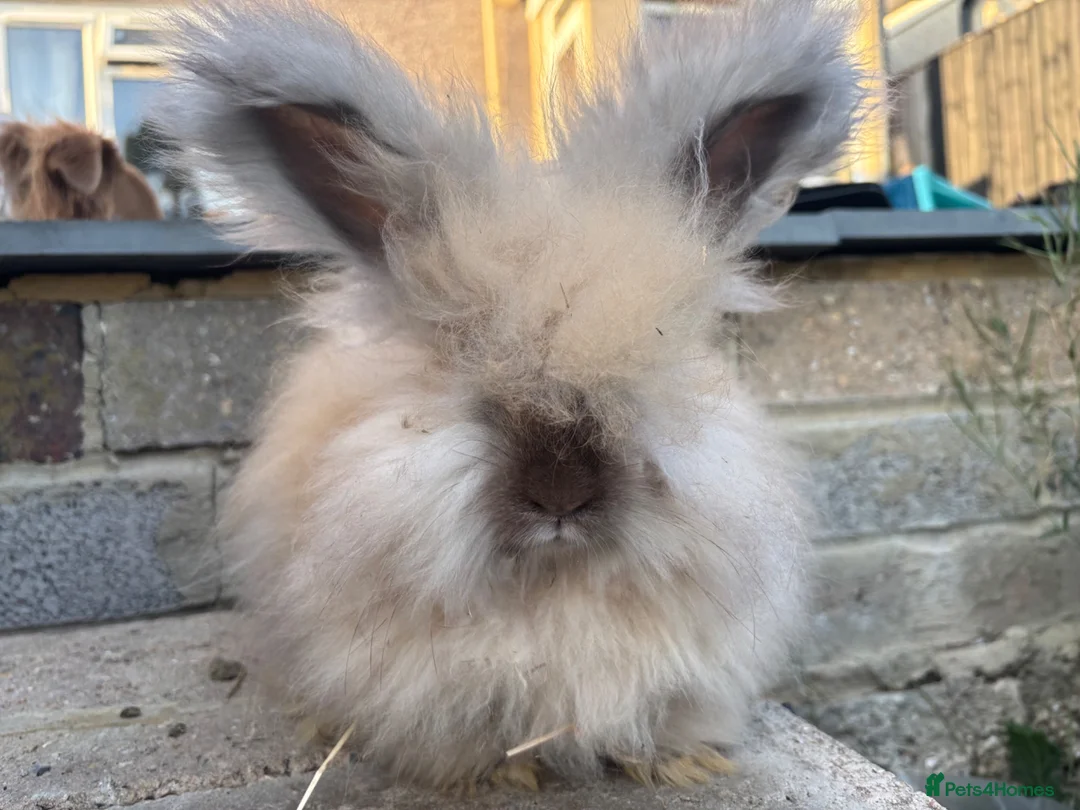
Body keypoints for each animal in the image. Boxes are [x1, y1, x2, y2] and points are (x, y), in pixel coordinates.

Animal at [151, 0, 866, 792]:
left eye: (644, 374)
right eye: (467, 372)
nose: (560, 497)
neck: (550, 588)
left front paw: (679, 760)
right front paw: (500, 776)